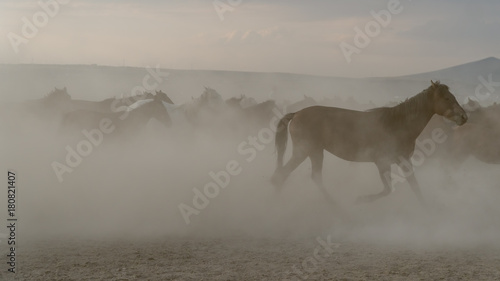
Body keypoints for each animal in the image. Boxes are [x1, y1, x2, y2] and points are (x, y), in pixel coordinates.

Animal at [272, 80, 466, 203]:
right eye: (447, 98)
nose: (464, 117)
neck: (398, 123)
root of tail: (296, 113)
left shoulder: (403, 160)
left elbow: (415, 187)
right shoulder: (382, 162)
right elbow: (388, 190)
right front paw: (361, 200)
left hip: (314, 152)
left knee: (310, 177)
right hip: (305, 151)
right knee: (283, 174)